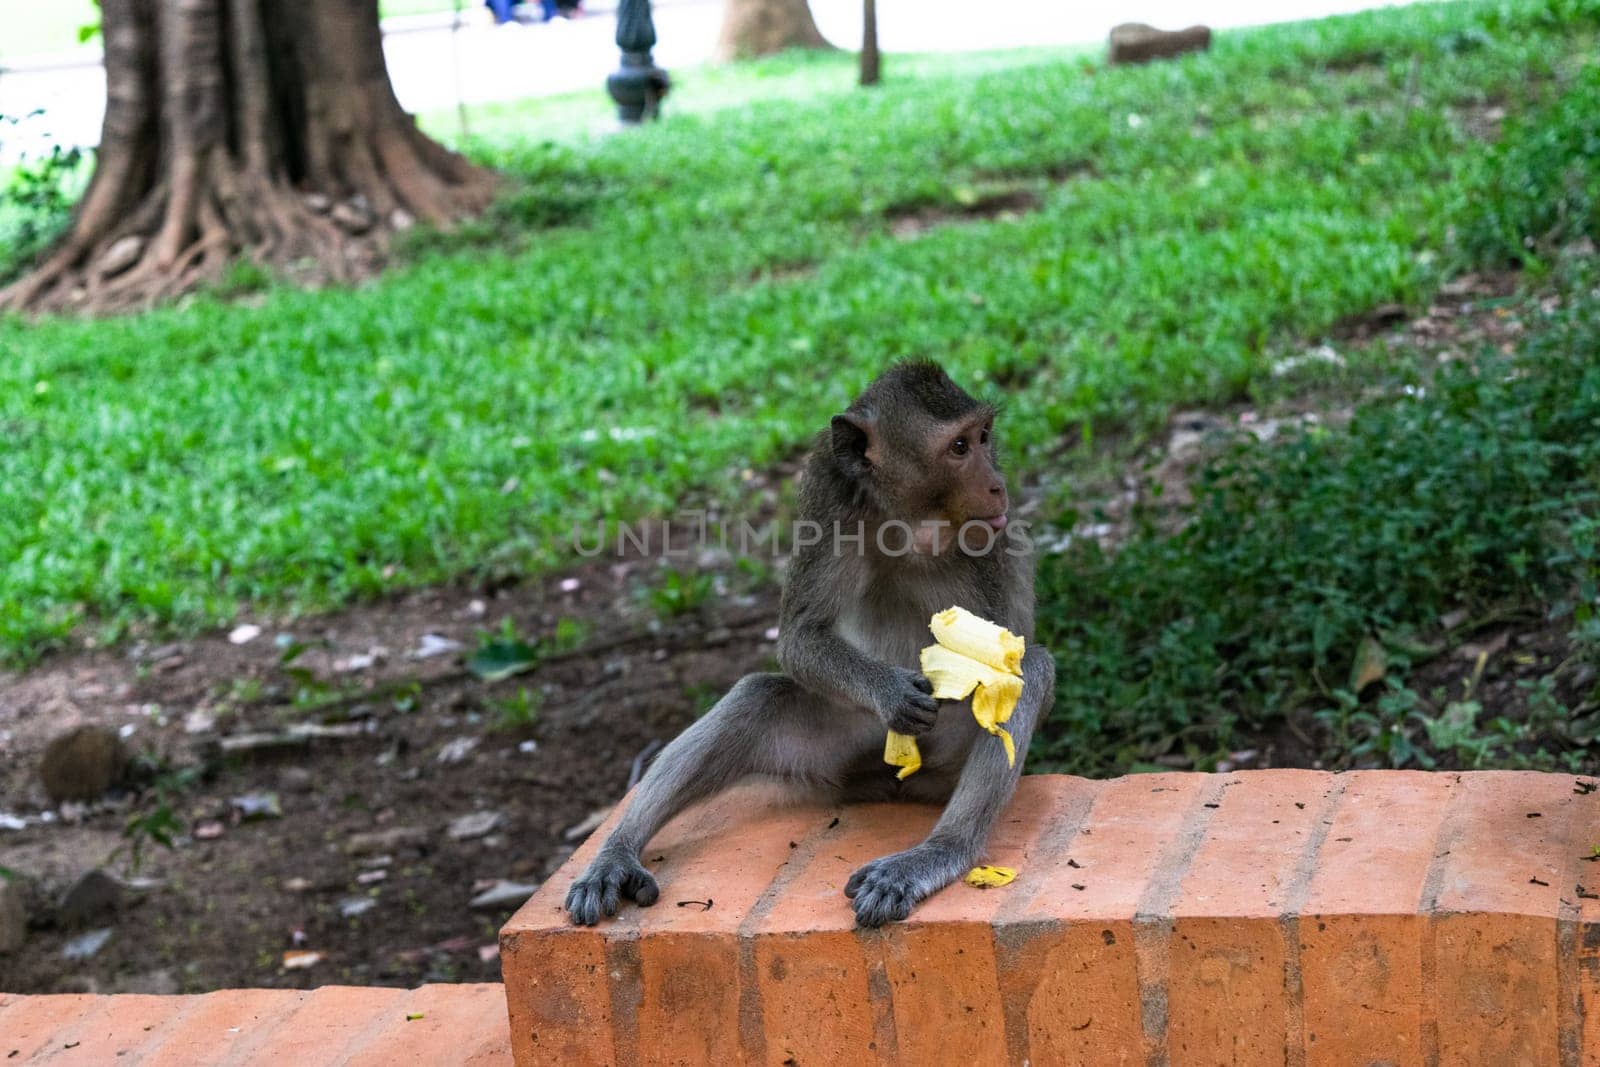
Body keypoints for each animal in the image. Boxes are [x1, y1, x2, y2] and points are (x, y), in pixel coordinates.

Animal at [569, 361, 1056, 927]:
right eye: (959, 447)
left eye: (983, 437)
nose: (997, 486)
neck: (912, 518)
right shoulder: (829, 501)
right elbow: (801, 636)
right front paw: (889, 690)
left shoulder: (991, 542)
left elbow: (1005, 654)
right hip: (842, 745)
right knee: (758, 696)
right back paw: (617, 852)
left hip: (948, 754)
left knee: (1028, 673)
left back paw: (937, 854)